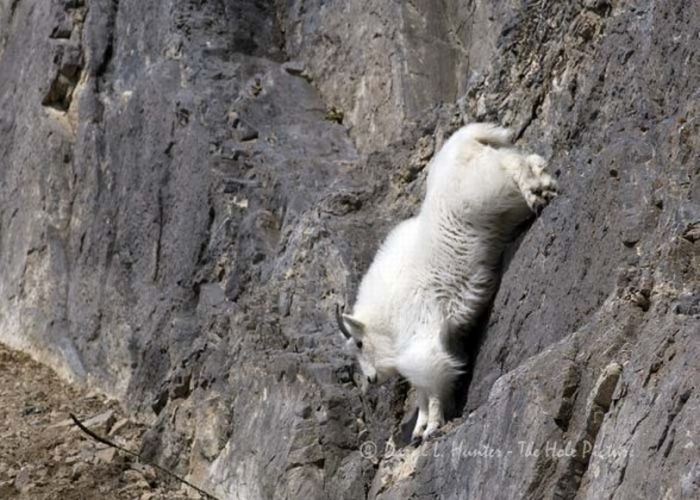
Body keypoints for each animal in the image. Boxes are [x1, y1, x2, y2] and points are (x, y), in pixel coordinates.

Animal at [336, 123, 560, 440]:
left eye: (358, 343)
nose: (371, 378)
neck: (389, 314)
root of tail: (467, 137)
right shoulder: (445, 334)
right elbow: (431, 385)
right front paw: (421, 428)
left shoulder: (423, 332)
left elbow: (430, 381)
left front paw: (430, 427)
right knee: (529, 158)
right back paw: (545, 185)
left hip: (487, 186)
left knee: (514, 164)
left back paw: (536, 192)